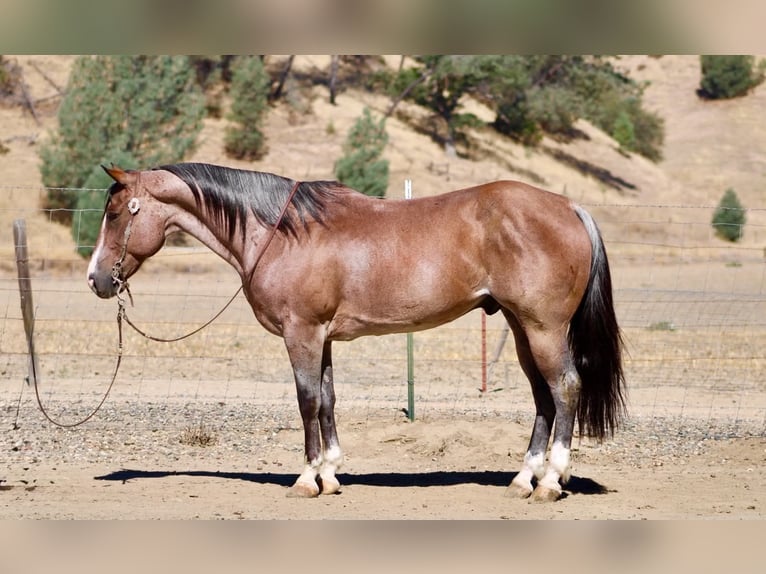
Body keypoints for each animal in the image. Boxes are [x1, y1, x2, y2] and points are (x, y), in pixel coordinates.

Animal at [87, 162, 625, 502]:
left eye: (114, 214)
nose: (96, 280)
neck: (282, 233)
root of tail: (570, 207)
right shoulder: (321, 337)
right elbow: (326, 400)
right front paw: (330, 474)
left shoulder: (301, 333)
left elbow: (306, 401)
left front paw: (307, 479)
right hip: (519, 327)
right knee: (542, 396)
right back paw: (523, 479)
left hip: (543, 328)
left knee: (565, 389)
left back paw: (551, 482)